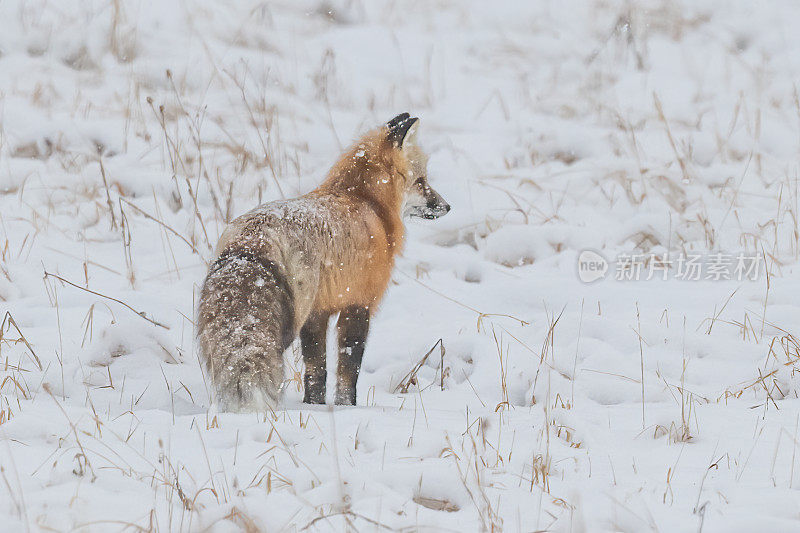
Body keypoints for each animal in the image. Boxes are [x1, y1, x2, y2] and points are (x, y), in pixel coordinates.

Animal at [197, 114, 450, 410]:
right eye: (421, 181)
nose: (447, 206)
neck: (364, 201)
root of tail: (253, 238)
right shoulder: (358, 302)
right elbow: (348, 369)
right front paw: (347, 408)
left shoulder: (317, 312)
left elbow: (316, 370)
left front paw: (313, 406)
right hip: (288, 324)